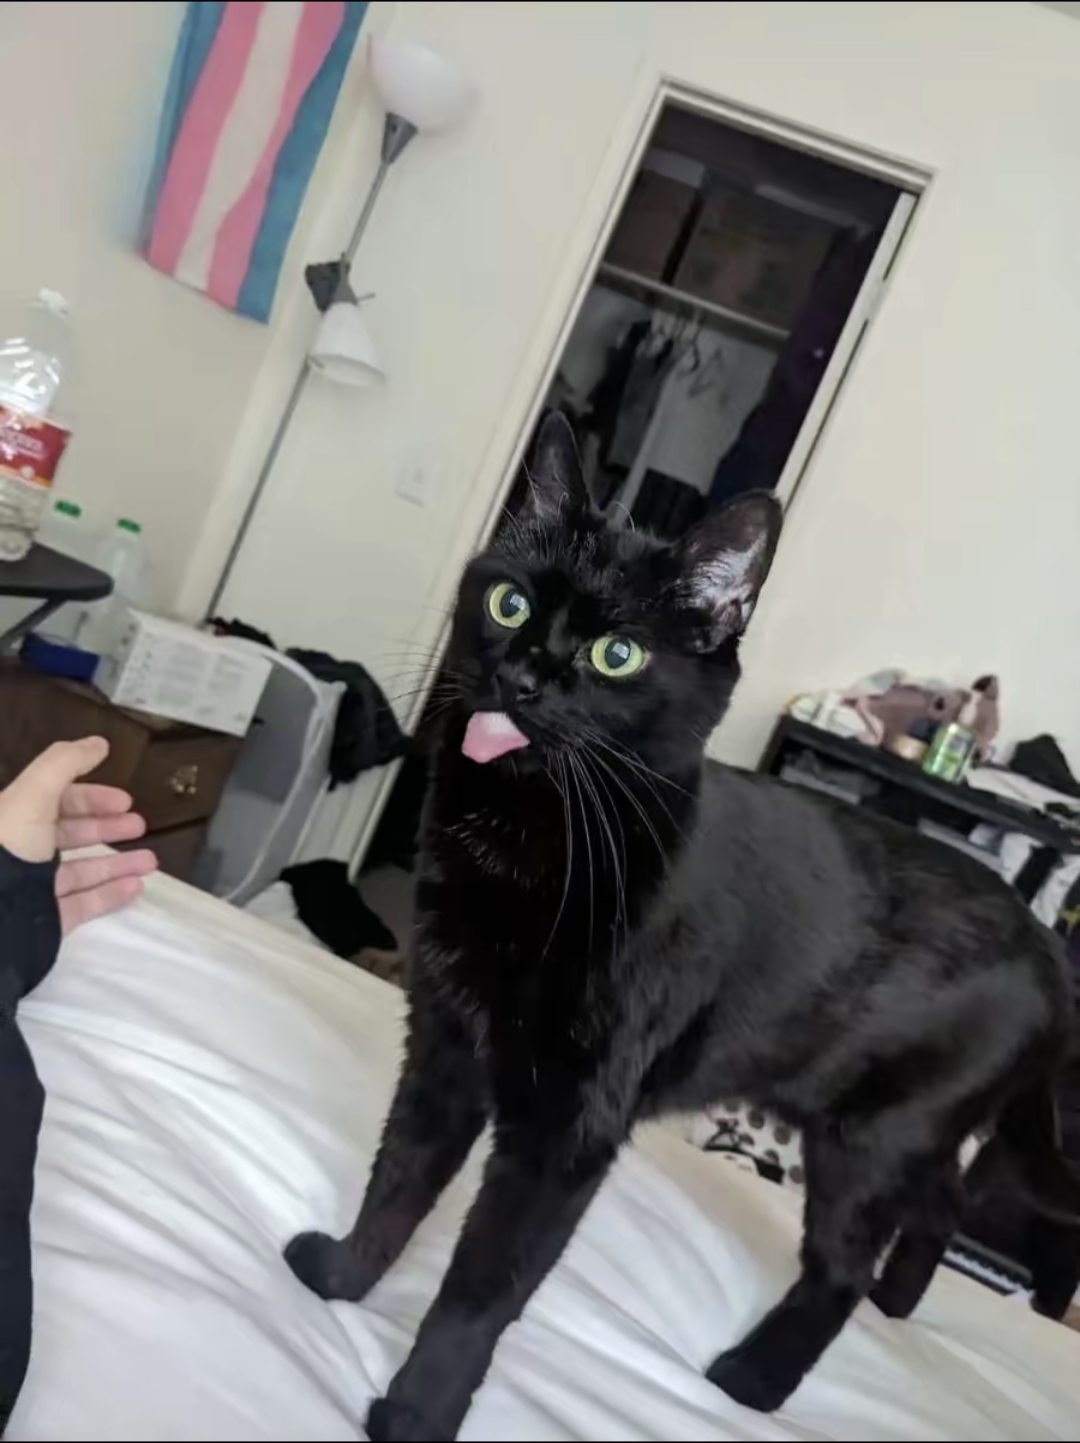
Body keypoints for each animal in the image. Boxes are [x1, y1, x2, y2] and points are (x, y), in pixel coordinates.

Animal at [286, 413, 1075, 1442]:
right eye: (507, 601)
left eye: (617, 654)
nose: (523, 674)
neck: (526, 843)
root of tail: (1049, 945)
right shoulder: (448, 1046)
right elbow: (399, 1178)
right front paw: (342, 1280)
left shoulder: (568, 1129)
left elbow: (479, 1288)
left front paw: (417, 1413)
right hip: (902, 1131)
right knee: (939, 1206)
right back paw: (898, 1303)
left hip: (874, 1139)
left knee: (839, 1272)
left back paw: (753, 1379)